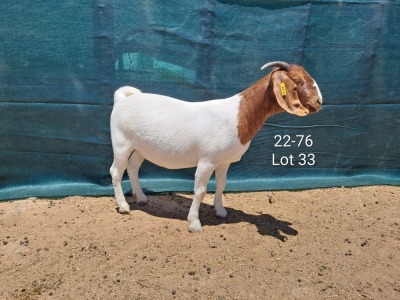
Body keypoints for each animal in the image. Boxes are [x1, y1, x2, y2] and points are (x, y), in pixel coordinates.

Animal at [109, 61, 322, 232]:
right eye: (297, 81)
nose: (318, 102)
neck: (239, 115)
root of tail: (122, 99)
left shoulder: (223, 161)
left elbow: (221, 184)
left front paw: (220, 211)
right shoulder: (207, 160)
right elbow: (201, 190)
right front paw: (194, 223)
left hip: (140, 147)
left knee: (133, 167)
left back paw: (141, 197)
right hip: (121, 142)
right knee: (116, 171)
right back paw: (124, 206)